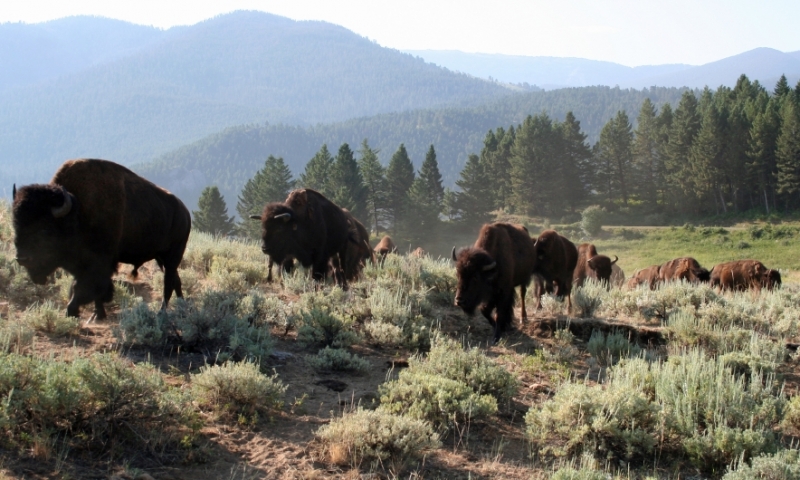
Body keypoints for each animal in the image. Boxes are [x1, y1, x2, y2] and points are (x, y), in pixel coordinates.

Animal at [12, 159, 191, 320]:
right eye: (15, 225)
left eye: (44, 229)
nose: (22, 258)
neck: (77, 211)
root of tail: (185, 212)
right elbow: (87, 290)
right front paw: (97, 314)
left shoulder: (99, 264)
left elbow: (84, 289)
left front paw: (72, 312)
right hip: (161, 257)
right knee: (175, 280)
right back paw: (182, 307)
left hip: (173, 254)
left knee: (168, 283)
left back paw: (162, 313)